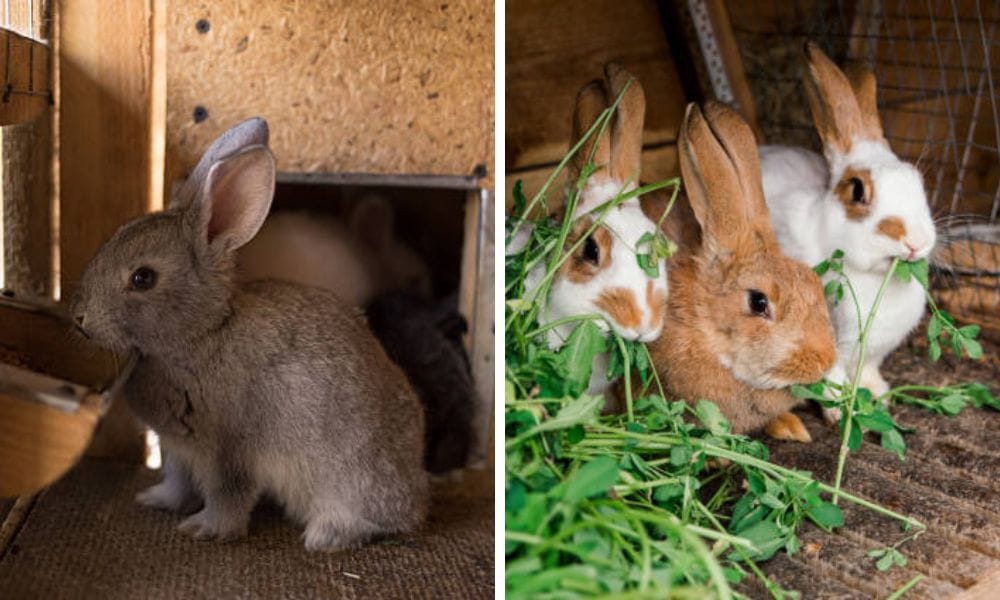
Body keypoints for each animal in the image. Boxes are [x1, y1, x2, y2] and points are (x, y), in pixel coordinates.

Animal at [759, 42, 937, 421]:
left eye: (917, 181)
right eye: (856, 190)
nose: (916, 242)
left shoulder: (873, 353)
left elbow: (867, 371)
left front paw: (878, 395)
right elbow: (830, 378)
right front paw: (840, 413)